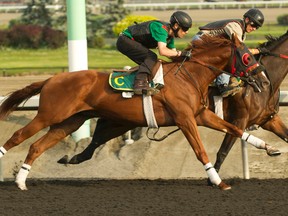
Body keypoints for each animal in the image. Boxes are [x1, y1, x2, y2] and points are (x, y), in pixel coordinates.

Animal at [0, 34, 268, 190]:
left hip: (70, 122)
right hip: (48, 115)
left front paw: (267, 146)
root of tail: (50, 79)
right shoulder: (185, 119)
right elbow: (200, 149)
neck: (188, 76)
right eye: (247, 57)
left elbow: (234, 129)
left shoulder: (200, 115)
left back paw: (21, 181)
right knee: (18, 137)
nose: (264, 81)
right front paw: (218, 181)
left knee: (36, 146)